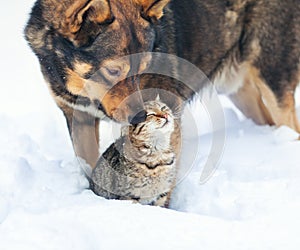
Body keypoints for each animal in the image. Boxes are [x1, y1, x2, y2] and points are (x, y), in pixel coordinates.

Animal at [25, 0, 300, 169]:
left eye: (145, 67)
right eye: (113, 71)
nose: (138, 116)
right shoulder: (78, 118)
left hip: (272, 79)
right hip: (242, 94)